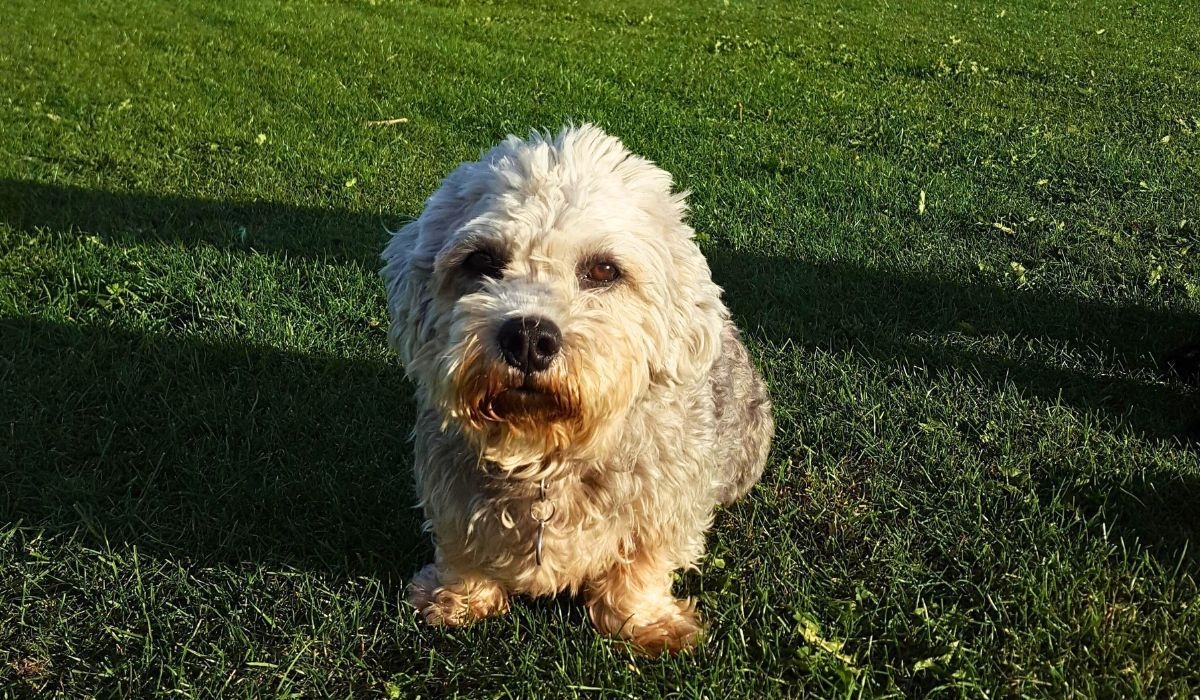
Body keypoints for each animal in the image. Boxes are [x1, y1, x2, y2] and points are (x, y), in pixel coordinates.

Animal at [379, 123, 772, 653]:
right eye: (481, 260)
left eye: (604, 270)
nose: (528, 338)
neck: (544, 455)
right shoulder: (449, 491)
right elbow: (459, 547)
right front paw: (456, 598)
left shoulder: (664, 507)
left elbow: (641, 566)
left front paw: (644, 621)